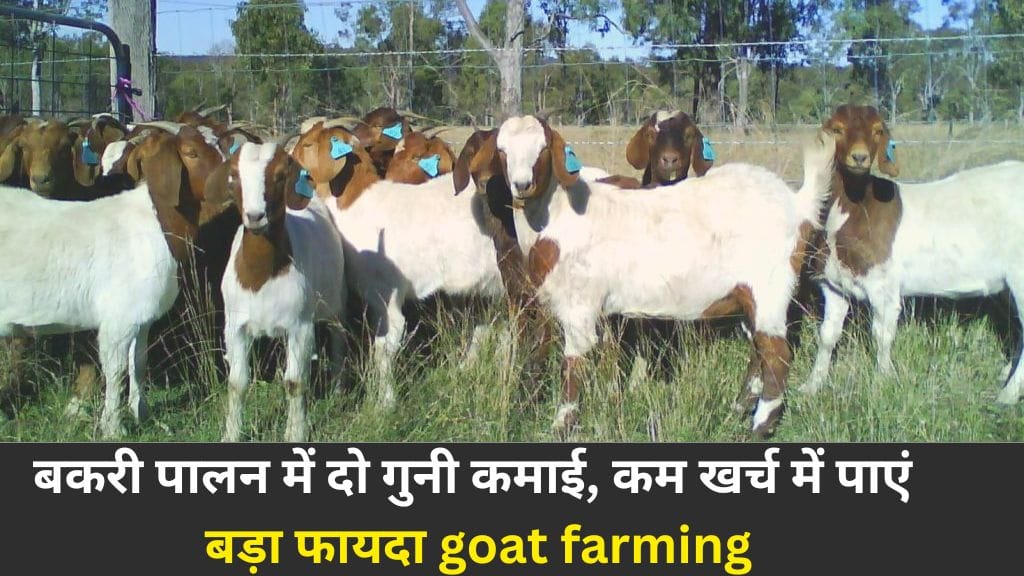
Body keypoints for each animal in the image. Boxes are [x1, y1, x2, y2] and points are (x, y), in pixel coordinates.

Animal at [0, 133, 206, 437]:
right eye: (192, 152)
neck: (155, 223)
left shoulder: (140, 318)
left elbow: (137, 364)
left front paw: (142, 415)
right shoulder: (118, 320)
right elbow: (116, 370)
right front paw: (114, 427)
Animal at [205, 142, 346, 442]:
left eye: (281, 175)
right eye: (234, 176)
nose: (255, 216)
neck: (261, 278)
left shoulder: (300, 326)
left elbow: (294, 382)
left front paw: (295, 432)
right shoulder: (234, 326)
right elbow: (237, 382)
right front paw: (231, 433)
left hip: (335, 298)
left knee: (338, 335)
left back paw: (339, 389)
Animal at [482, 115, 834, 437]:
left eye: (542, 150)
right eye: (502, 150)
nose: (521, 185)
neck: (557, 216)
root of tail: (797, 204)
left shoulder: (579, 306)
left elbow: (573, 364)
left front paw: (562, 424)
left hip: (769, 287)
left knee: (777, 354)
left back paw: (760, 426)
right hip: (747, 295)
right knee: (759, 350)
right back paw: (740, 407)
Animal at [801, 104, 1024, 405]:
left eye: (877, 130)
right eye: (837, 129)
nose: (859, 157)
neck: (856, 208)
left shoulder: (883, 286)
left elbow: (882, 336)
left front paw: (883, 382)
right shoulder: (834, 284)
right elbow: (827, 335)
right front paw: (812, 385)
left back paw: (1008, 396)